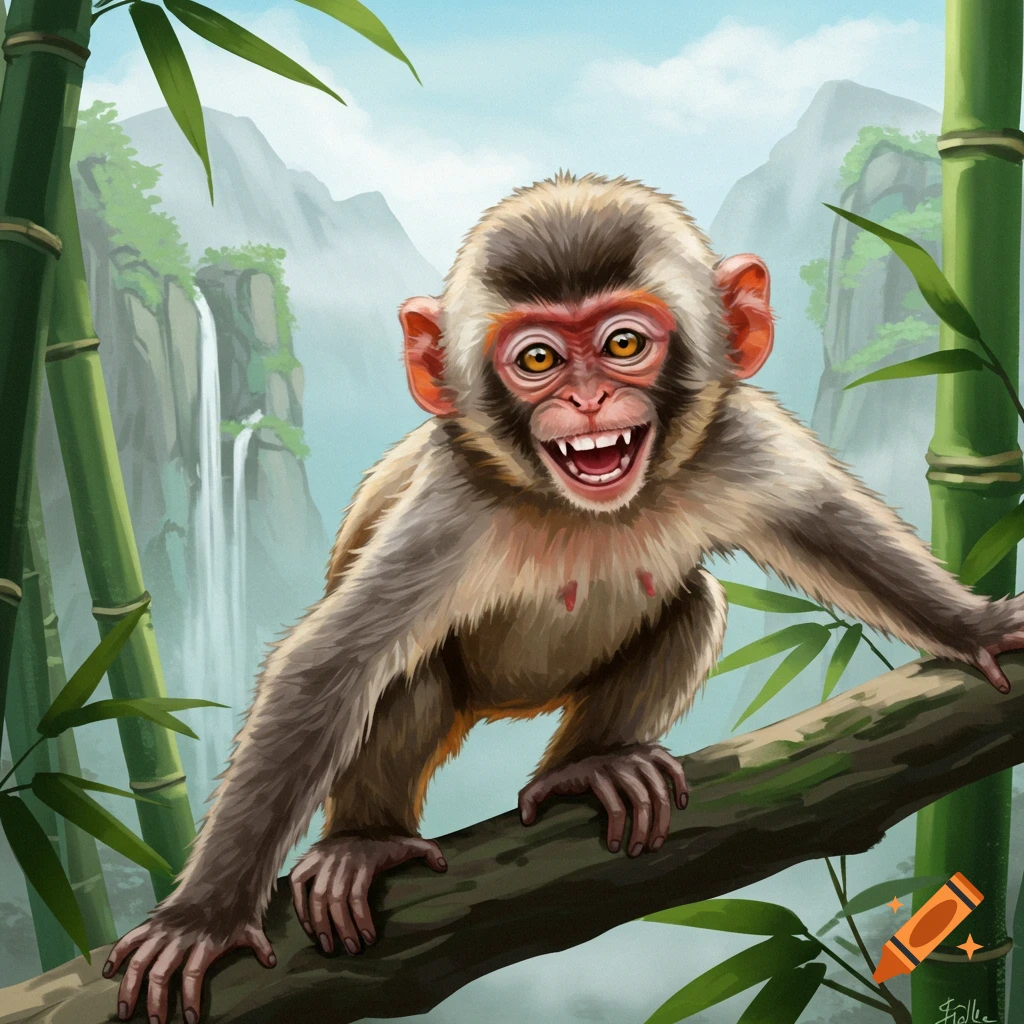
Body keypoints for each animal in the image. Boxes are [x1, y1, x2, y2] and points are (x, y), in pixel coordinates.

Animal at [104, 173, 1022, 1024]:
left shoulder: (735, 433)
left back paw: (595, 765)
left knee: (693, 603)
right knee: (412, 672)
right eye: (538, 360)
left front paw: (973, 625)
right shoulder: (453, 501)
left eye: (623, 342)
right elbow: (330, 662)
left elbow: (829, 528)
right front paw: (202, 917)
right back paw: (365, 843)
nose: (586, 400)